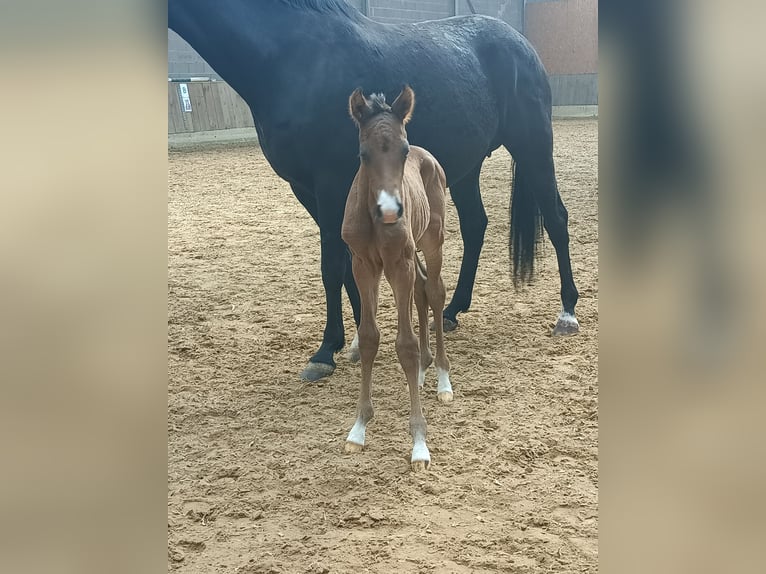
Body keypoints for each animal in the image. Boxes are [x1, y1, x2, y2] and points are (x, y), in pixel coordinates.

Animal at [168, 0, 580, 382]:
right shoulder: (307, 190)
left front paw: (325, 351)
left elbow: (331, 265)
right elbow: (350, 262)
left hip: (532, 144)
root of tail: (521, 43)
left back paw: (567, 313)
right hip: (465, 168)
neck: (293, 56)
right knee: (476, 225)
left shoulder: (330, 184)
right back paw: (451, 311)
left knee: (556, 219)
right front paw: (356, 335)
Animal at [342, 86, 452, 471]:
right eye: (362, 154)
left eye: (403, 151)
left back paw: (442, 378)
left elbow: (404, 345)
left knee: (434, 290)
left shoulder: (398, 263)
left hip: (431, 240)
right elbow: (369, 337)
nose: (390, 212)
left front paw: (419, 443)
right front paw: (358, 428)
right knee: (421, 289)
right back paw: (423, 367)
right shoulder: (363, 265)